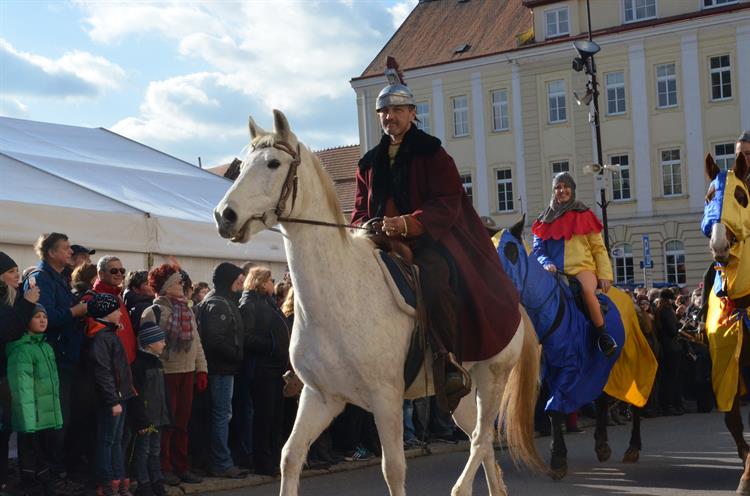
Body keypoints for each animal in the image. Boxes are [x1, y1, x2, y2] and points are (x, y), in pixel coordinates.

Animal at [214, 110, 544, 494]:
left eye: (273, 163)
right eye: (242, 166)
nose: (224, 216)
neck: (338, 295)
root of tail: (515, 305)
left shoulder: (385, 399)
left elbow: (394, 469)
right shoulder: (320, 397)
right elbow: (290, 457)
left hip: (492, 379)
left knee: (479, 439)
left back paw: (460, 488)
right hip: (461, 394)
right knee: (485, 439)